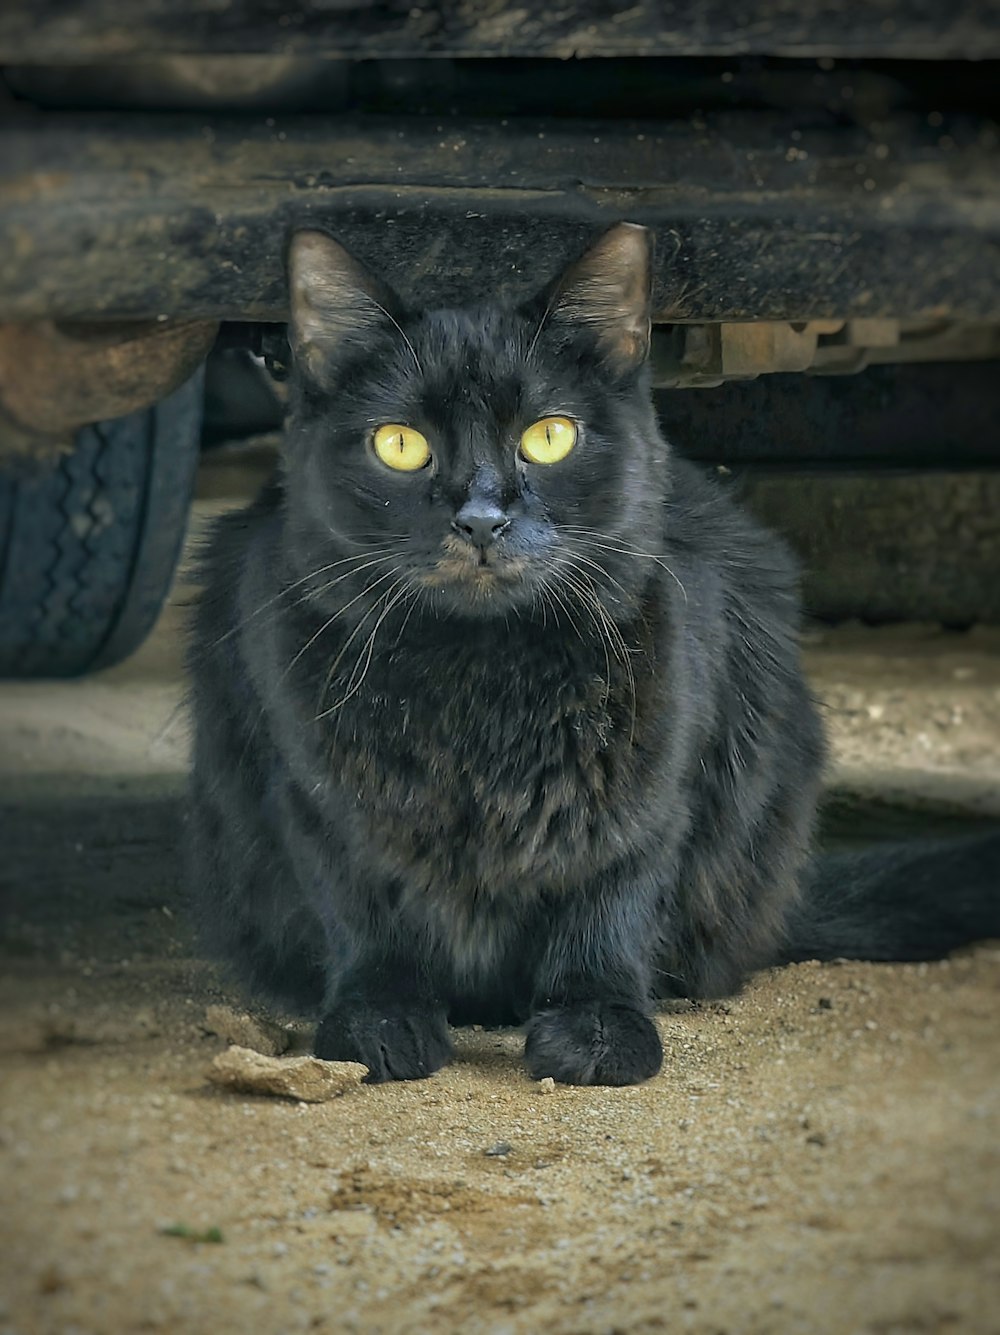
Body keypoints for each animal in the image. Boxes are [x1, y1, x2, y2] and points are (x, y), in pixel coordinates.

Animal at [189, 221, 998, 1084]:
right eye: (400, 446)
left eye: (549, 436)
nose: (482, 518)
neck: (481, 678)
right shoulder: (313, 794)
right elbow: (363, 910)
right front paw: (378, 1015)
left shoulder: (652, 788)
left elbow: (608, 905)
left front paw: (600, 1026)